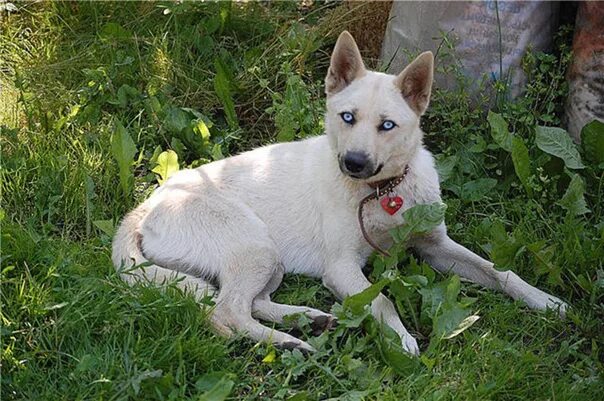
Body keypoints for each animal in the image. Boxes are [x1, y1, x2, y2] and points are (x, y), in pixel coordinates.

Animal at [112, 30, 568, 354]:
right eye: (347, 117)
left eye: (387, 125)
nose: (353, 163)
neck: (383, 194)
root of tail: (146, 205)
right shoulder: (343, 268)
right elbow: (381, 301)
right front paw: (400, 339)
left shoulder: (436, 247)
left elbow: (500, 271)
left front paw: (547, 301)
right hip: (255, 245)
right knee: (226, 312)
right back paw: (291, 341)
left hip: (269, 259)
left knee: (249, 302)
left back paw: (307, 319)